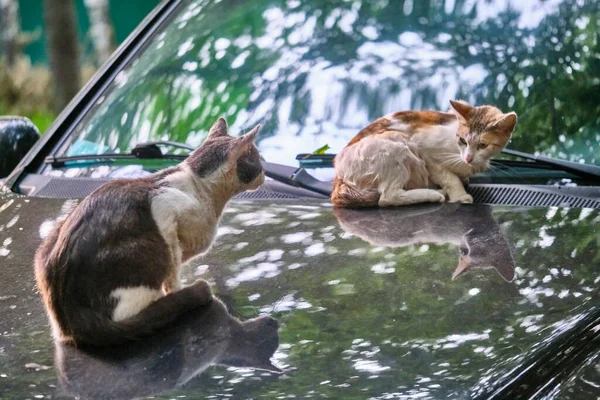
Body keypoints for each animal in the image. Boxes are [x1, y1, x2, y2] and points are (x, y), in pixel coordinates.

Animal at [33, 117, 264, 346]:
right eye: (258, 159)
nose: (264, 172)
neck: (202, 188)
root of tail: (74, 323)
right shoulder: (163, 207)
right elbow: (173, 269)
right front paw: (177, 291)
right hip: (142, 254)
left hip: (47, 245)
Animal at [332, 100, 516, 208]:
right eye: (463, 141)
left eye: (483, 145)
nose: (468, 158)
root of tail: (338, 178)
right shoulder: (424, 149)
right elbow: (449, 177)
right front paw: (459, 195)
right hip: (398, 144)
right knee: (387, 198)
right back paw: (435, 194)